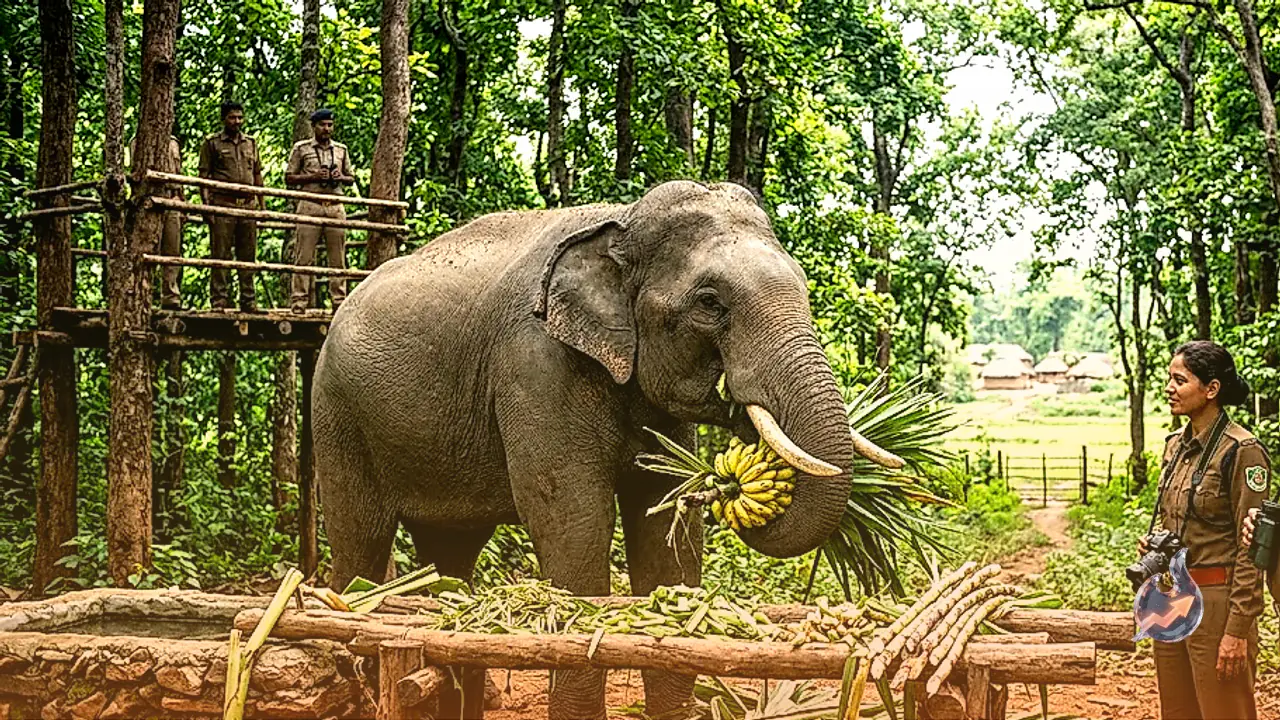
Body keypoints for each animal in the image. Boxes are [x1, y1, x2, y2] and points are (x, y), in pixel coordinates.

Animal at [312, 180, 899, 719]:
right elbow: (572, 517)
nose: (726, 482)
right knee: (360, 538)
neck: (622, 221)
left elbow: (663, 522)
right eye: (710, 303)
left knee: (450, 556)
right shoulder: (535, 365)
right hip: (337, 415)